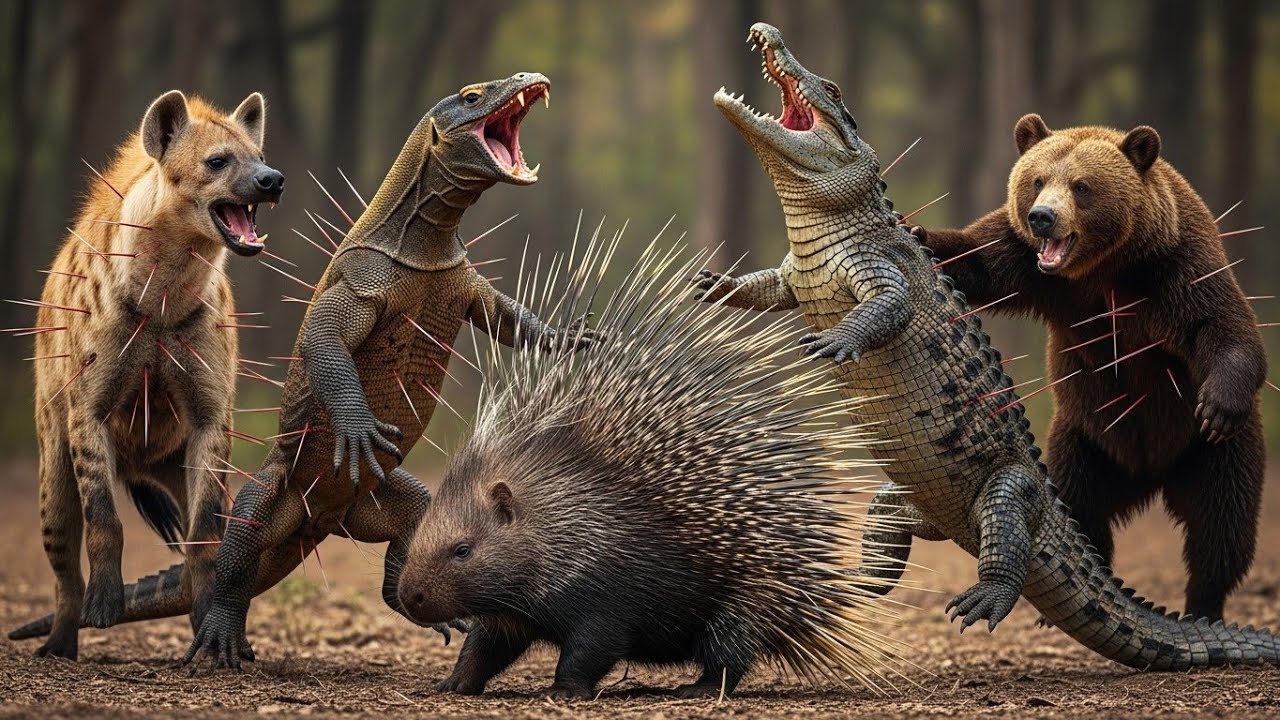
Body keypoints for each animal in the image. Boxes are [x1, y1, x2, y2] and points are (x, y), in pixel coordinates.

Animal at [913, 113, 1268, 621]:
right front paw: (921, 236)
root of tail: (1149, 476)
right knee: (1081, 506)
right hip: (1084, 441)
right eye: (1037, 180)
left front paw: (1218, 404)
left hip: (1207, 453)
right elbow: (977, 257)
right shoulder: (1032, 267)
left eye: (1082, 186)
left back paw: (1205, 603)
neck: (1104, 266)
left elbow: (1221, 324)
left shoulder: (1175, 267)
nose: (1042, 216)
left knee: (1220, 525)